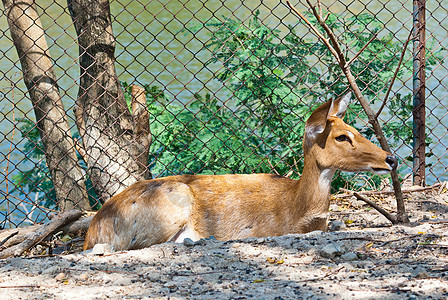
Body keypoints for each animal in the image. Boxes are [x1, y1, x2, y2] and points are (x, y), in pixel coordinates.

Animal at [83, 93, 396, 251]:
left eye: (355, 129)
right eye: (342, 136)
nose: (391, 158)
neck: (297, 208)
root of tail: (93, 229)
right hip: (170, 202)